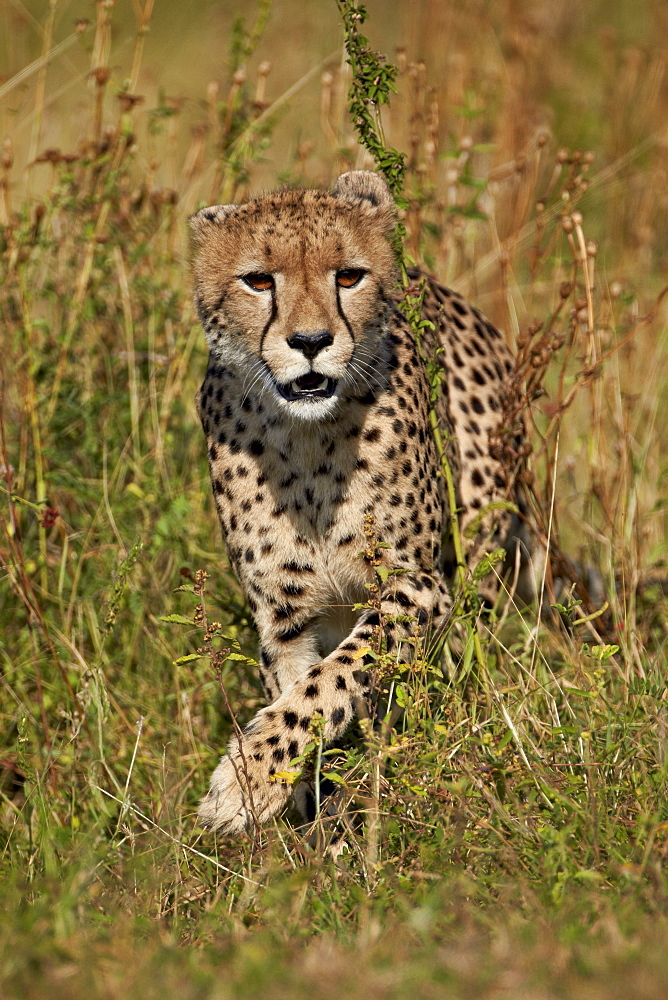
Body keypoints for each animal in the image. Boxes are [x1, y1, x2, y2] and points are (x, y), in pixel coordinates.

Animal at [189, 168, 528, 832]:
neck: (309, 443)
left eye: (348, 276)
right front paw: (288, 802)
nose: (311, 341)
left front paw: (246, 781)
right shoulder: (283, 618)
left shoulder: (417, 585)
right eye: (258, 280)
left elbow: (332, 682)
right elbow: (302, 689)